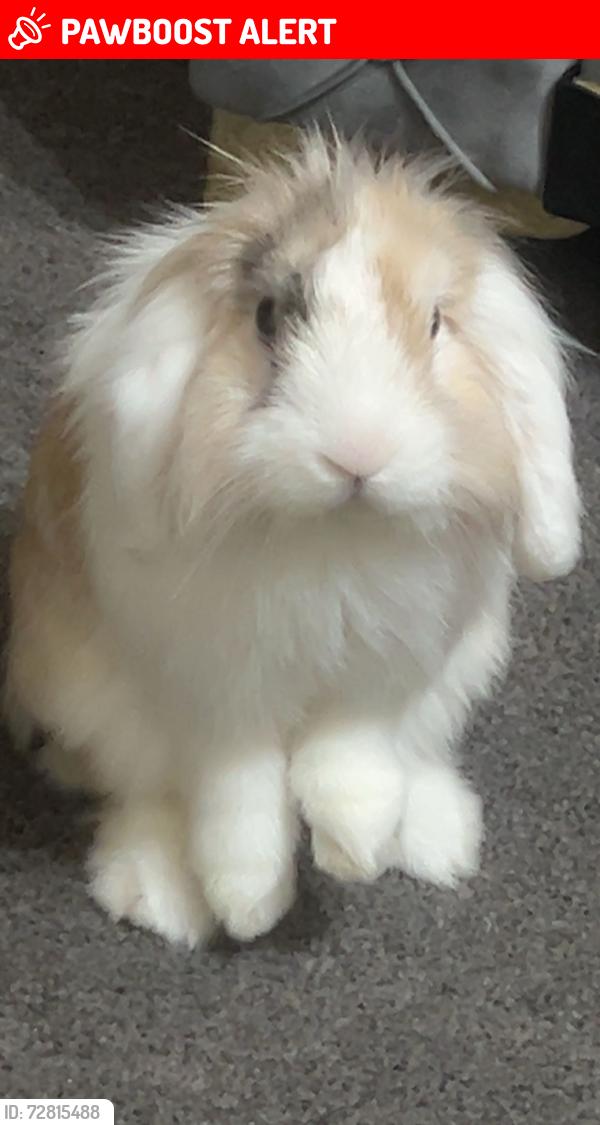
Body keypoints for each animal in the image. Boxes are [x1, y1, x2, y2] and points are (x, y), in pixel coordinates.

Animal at [4, 132, 581, 948]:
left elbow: (353, 756)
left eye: (436, 323)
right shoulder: (217, 689)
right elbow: (236, 792)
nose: (358, 453)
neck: (336, 535)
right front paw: (247, 903)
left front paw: (355, 846)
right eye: (269, 317)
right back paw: (157, 894)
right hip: (92, 697)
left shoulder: (384, 670)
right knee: (151, 790)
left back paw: (435, 838)